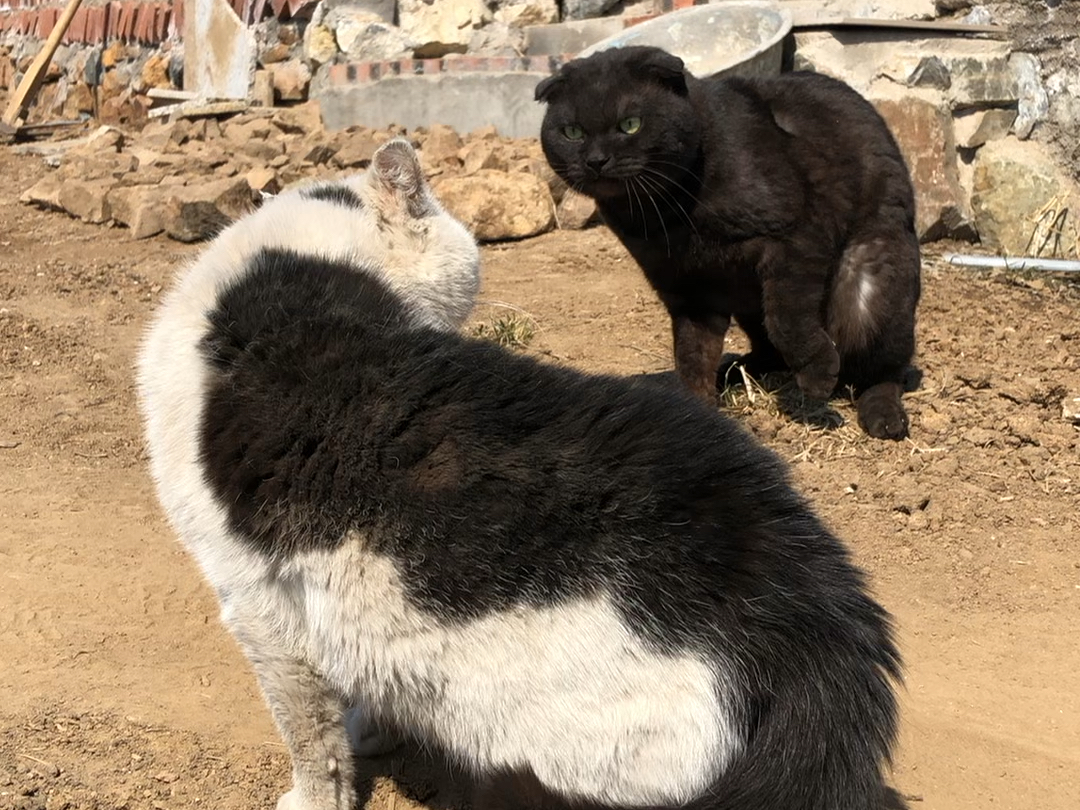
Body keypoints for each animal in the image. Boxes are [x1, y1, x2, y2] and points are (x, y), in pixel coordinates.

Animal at [139, 136, 907, 807]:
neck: (291, 266)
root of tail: (813, 618)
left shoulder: (263, 612)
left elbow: (311, 738)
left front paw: (316, 794)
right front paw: (375, 733)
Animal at [535, 47, 924, 440]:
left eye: (630, 124)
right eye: (572, 132)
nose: (596, 160)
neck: (664, 216)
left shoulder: (796, 237)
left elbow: (787, 317)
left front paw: (817, 373)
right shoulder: (688, 289)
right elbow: (692, 356)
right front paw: (697, 414)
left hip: (869, 285)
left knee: (887, 370)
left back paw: (882, 415)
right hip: (749, 302)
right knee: (767, 350)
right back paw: (734, 370)